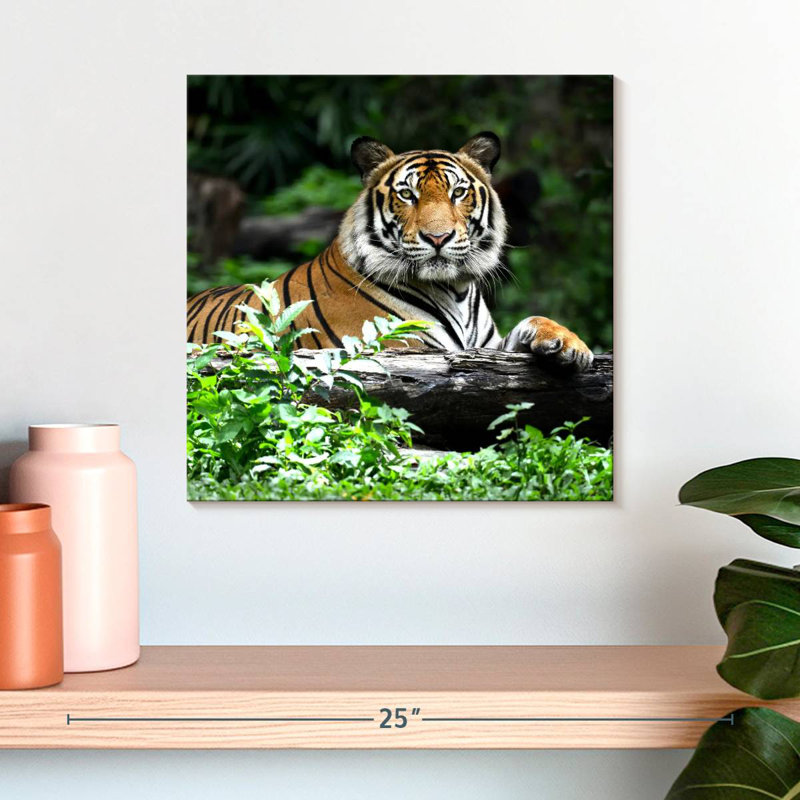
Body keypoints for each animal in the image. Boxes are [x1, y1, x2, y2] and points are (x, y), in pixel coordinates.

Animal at [187, 132, 594, 371]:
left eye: (458, 193)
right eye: (407, 194)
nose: (438, 237)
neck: (456, 290)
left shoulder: (486, 347)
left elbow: (534, 320)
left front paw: (569, 345)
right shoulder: (404, 348)